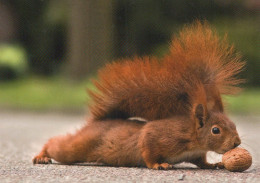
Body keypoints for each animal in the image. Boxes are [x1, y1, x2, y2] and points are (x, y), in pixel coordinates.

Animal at [32, 21, 244, 170]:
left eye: (234, 124)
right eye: (215, 130)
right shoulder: (157, 136)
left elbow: (201, 161)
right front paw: (158, 164)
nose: (237, 143)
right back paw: (42, 155)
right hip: (76, 148)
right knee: (57, 145)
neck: (192, 138)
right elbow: (147, 149)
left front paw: (212, 164)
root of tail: (95, 123)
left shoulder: (196, 154)